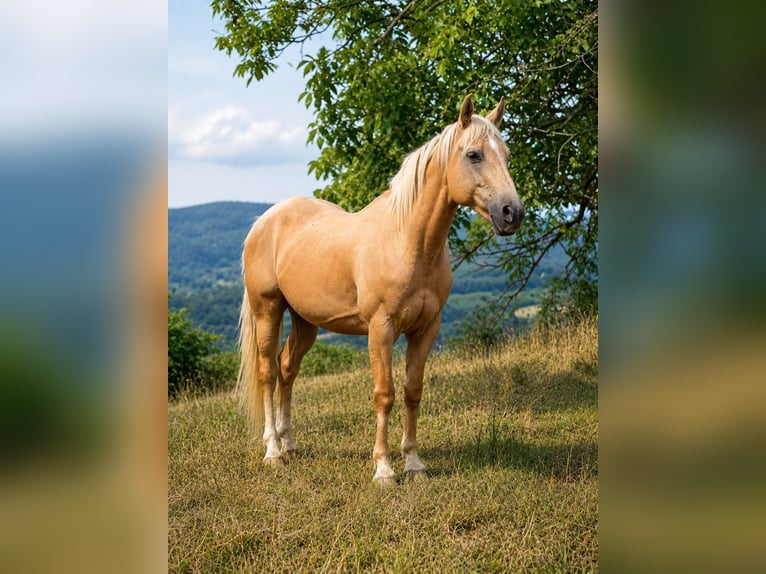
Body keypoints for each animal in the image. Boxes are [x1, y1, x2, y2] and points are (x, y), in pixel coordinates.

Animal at [237, 95, 524, 485]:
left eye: (507, 155)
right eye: (474, 154)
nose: (512, 213)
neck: (408, 242)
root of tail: (264, 221)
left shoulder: (426, 328)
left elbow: (413, 392)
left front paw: (414, 464)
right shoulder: (381, 328)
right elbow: (384, 394)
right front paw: (384, 469)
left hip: (305, 322)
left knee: (287, 369)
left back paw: (290, 444)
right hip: (267, 309)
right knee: (268, 373)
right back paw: (273, 452)